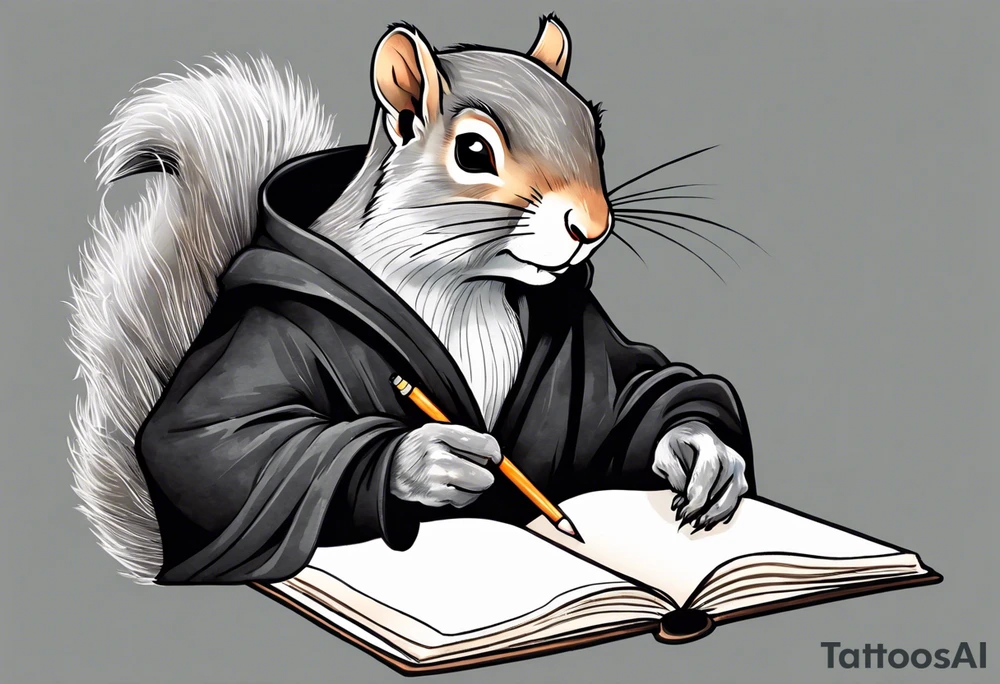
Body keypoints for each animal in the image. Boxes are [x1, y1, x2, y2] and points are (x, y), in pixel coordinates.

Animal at [68, 15, 754, 584]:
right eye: (473, 151)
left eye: (596, 133)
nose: (591, 226)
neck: (465, 286)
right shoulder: (262, 335)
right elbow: (202, 443)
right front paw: (426, 461)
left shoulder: (583, 337)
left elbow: (628, 389)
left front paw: (704, 456)